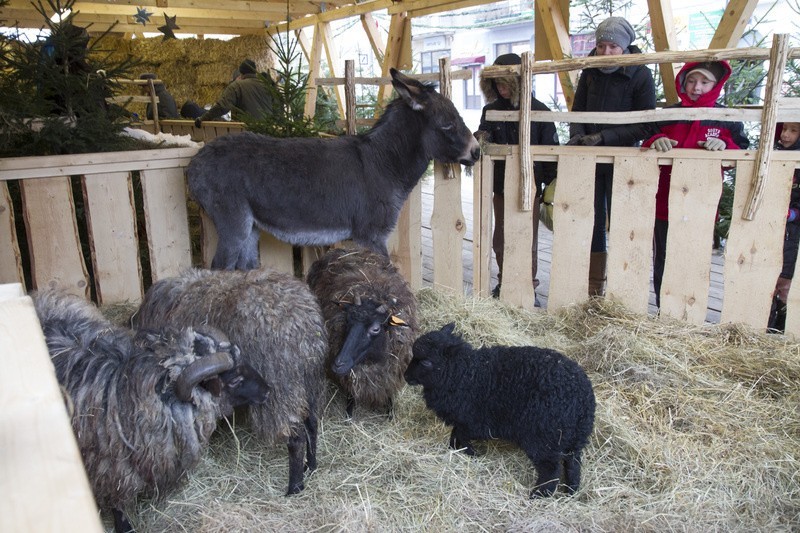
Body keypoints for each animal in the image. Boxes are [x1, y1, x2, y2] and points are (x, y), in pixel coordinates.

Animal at [131, 268, 328, 496]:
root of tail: (304, 329)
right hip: (309, 382)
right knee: (312, 424)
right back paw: (311, 466)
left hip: (283, 390)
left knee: (296, 438)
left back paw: (294, 488)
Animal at [306, 247, 418, 418]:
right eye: (347, 320)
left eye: (375, 328)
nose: (338, 364)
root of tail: (345, 249)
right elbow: (351, 395)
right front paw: (349, 415)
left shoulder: (390, 375)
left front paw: (390, 414)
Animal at [406, 322, 592, 496]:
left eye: (426, 362)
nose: (406, 376)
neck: (465, 373)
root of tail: (583, 403)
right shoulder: (464, 421)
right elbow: (455, 434)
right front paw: (456, 450)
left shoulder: (473, 422)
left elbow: (460, 436)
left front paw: (470, 453)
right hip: (573, 439)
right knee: (573, 465)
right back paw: (570, 491)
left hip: (544, 438)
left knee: (551, 470)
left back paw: (538, 495)